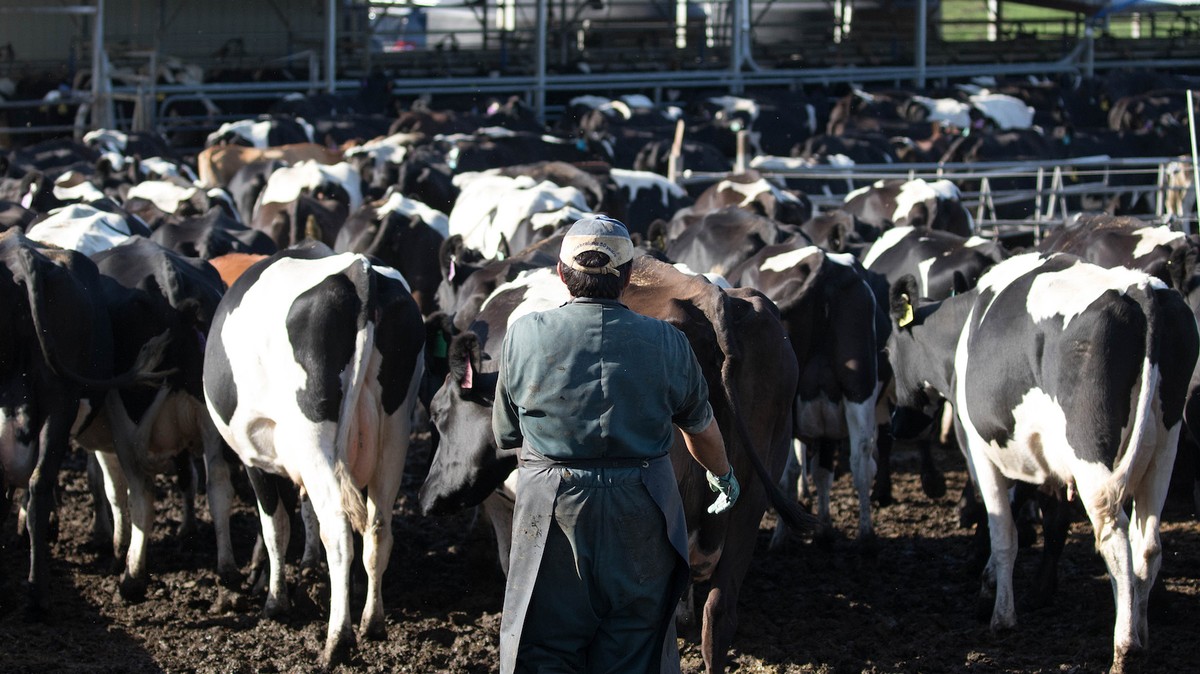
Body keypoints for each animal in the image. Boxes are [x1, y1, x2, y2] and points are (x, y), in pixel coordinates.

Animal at [205, 243, 427, 662]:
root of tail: (359, 269)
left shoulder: (254, 456)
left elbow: (276, 527)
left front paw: (275, 600)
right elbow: (302, 513)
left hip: (314, 436)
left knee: (338, 530)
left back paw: (338, 639)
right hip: (394, 432)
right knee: (378, 528)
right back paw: (372, 622)